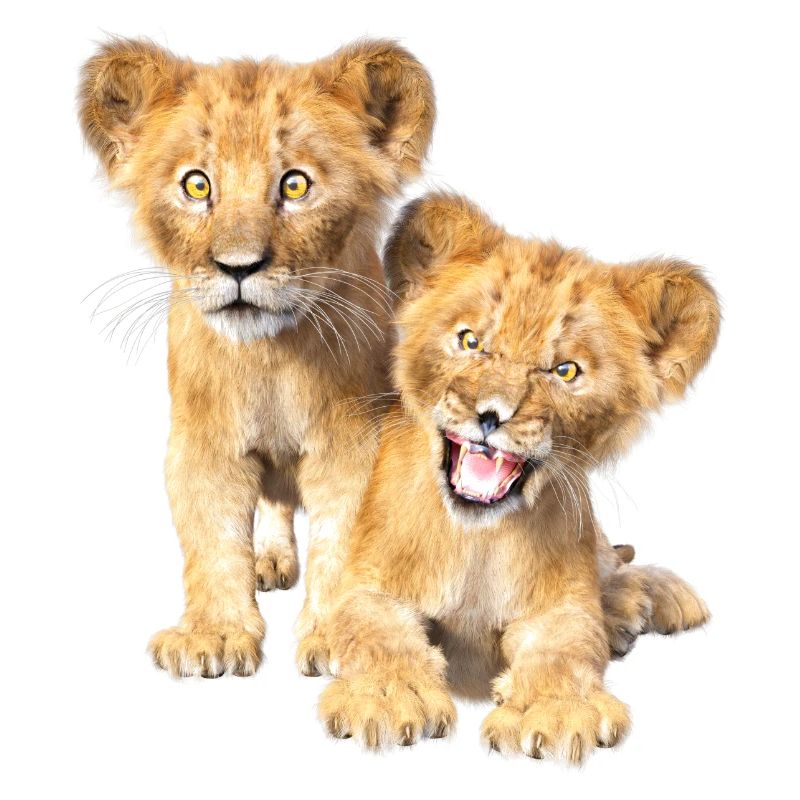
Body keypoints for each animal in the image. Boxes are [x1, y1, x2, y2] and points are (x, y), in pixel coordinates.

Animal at [78, 38, 435, 677]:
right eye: (197, 186)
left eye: (294, 186)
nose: (238, 266)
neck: (270, 357)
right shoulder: (204, 443)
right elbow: (214, 538)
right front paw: (212, 636)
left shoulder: (355, 442)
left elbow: (345, 536)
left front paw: (341, 638)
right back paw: (268, 561)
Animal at [314, 193, 719, 762]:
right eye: (470, 342)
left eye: (565, 371)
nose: (491, 415)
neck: (477, 542)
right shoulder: (369, 584)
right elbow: (373, 632)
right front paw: (387, 698)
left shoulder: (559, 606)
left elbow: (566, 648)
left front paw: (555, 712)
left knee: (611, 562)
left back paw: (642, 601)